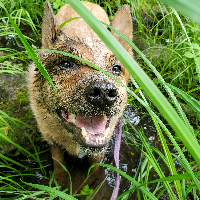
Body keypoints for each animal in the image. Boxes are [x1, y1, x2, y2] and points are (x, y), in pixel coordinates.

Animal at [27, 0, 133, 196]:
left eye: (116, 68)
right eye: (66, 63)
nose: (104, 92)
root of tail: (86, 2)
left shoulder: (98, 153)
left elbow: (95, 172)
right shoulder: (54, 145)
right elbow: (60, 168)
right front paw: (58, 187)